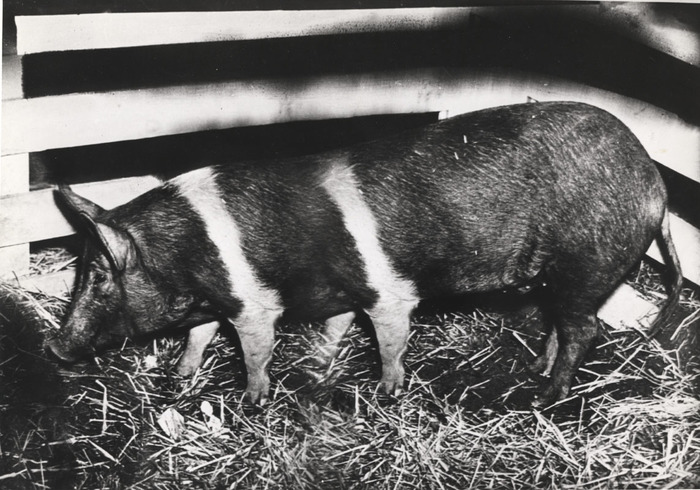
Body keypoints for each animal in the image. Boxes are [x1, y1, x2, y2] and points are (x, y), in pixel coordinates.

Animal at [47, 101, 682, 407]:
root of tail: (655, 181)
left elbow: (270, 349)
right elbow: (215, 336)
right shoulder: (328, 296)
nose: (54, 346)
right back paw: (532, 369)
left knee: (584, 330)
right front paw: (185, 376)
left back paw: (543, 396)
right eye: (79, 272)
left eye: (97, 278)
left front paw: (261, 399)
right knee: (560, 324)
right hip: (563, 276)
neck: (195, 253)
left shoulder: (331, 299)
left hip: (588, 262)